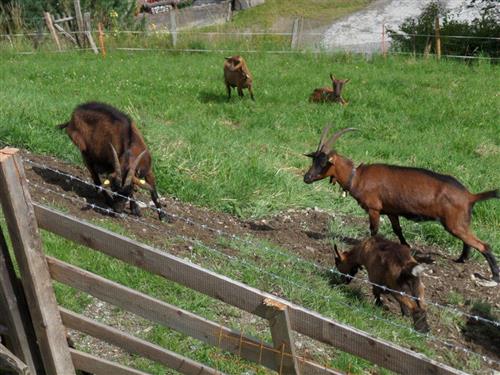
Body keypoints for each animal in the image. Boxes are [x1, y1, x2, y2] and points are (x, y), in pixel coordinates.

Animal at [304, 126, 500, 282]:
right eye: (313, 159)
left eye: (324, 162)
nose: (307, 178)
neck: (357, 177)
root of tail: (470, 196)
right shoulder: (391, 210)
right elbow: (398, 230)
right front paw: (407, 247)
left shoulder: (374, 209)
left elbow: (374, 230)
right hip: (459, 223)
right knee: (468, 241)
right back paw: (461, 260)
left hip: (454, 223)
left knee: (484, 245)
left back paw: (494, 276)